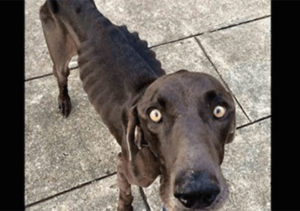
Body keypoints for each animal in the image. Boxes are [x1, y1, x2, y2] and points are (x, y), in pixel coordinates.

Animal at [40, 0, 237, 210]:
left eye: (219, 110)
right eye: (154, 114)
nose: (198, 193)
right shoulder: (124, 166)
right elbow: (126, 193)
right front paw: (124, 207)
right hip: (60, 59)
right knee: (61, 76)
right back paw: (64, 101)